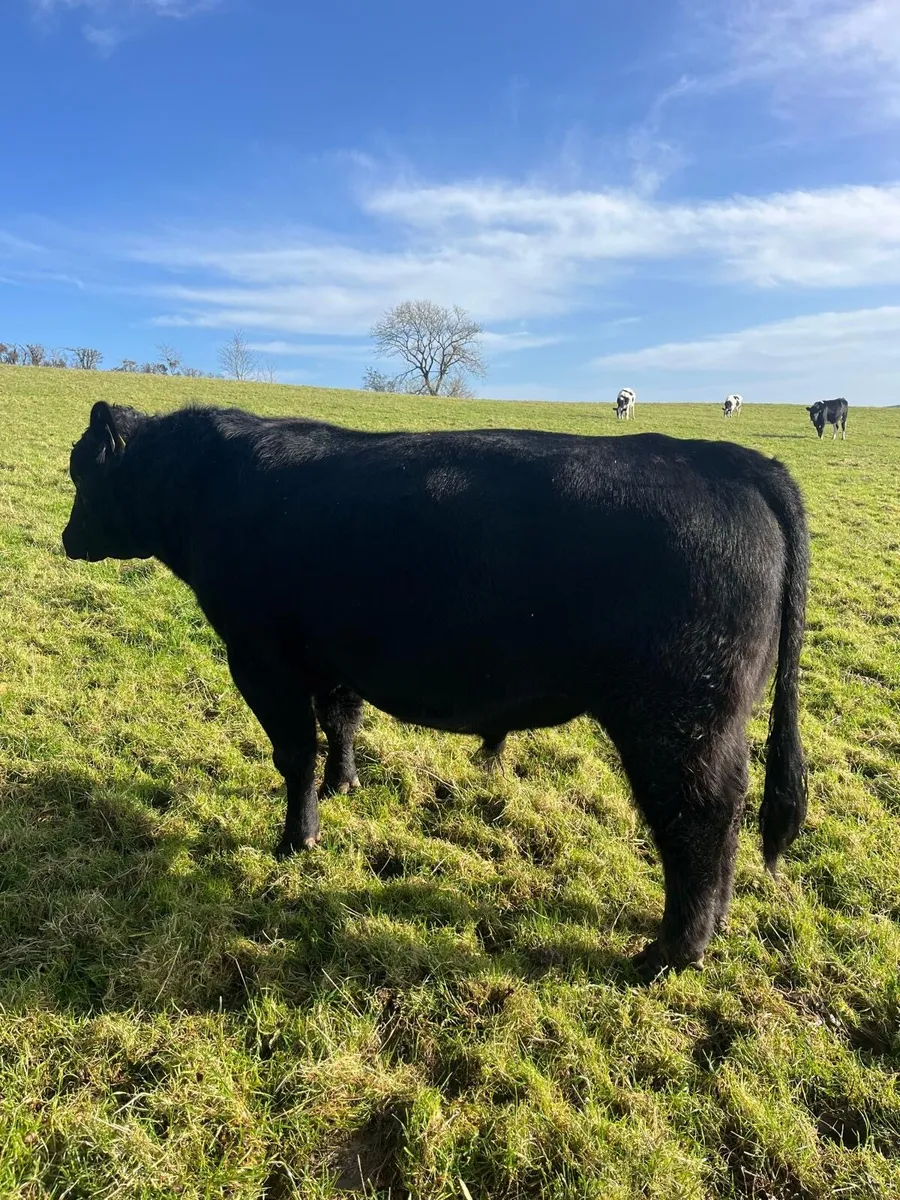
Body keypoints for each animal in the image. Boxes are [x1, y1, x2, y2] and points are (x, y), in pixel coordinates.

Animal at [63, 401, 809, 976]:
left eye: (83, 473)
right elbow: (341, 721)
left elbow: (294, 751)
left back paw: (668, 954)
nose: (68, 539)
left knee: (700, 820)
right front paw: (344, 785)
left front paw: (297, 839)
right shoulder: (333, 653)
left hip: (680, 719)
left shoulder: (260, 658)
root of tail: (734, 461)